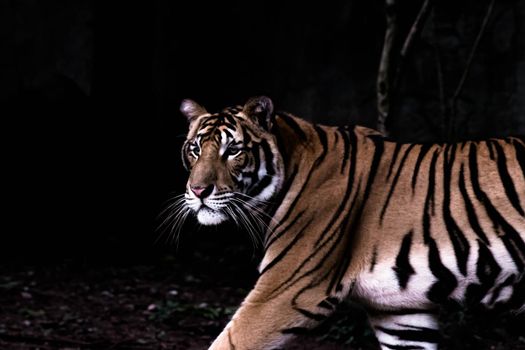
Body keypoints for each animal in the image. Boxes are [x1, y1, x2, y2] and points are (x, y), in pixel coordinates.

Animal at [176, 96, 524, 350]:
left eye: (233, 150)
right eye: (195, 149)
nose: (198, 190)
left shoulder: (288, 290)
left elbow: (230, 341)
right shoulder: (400, 314)